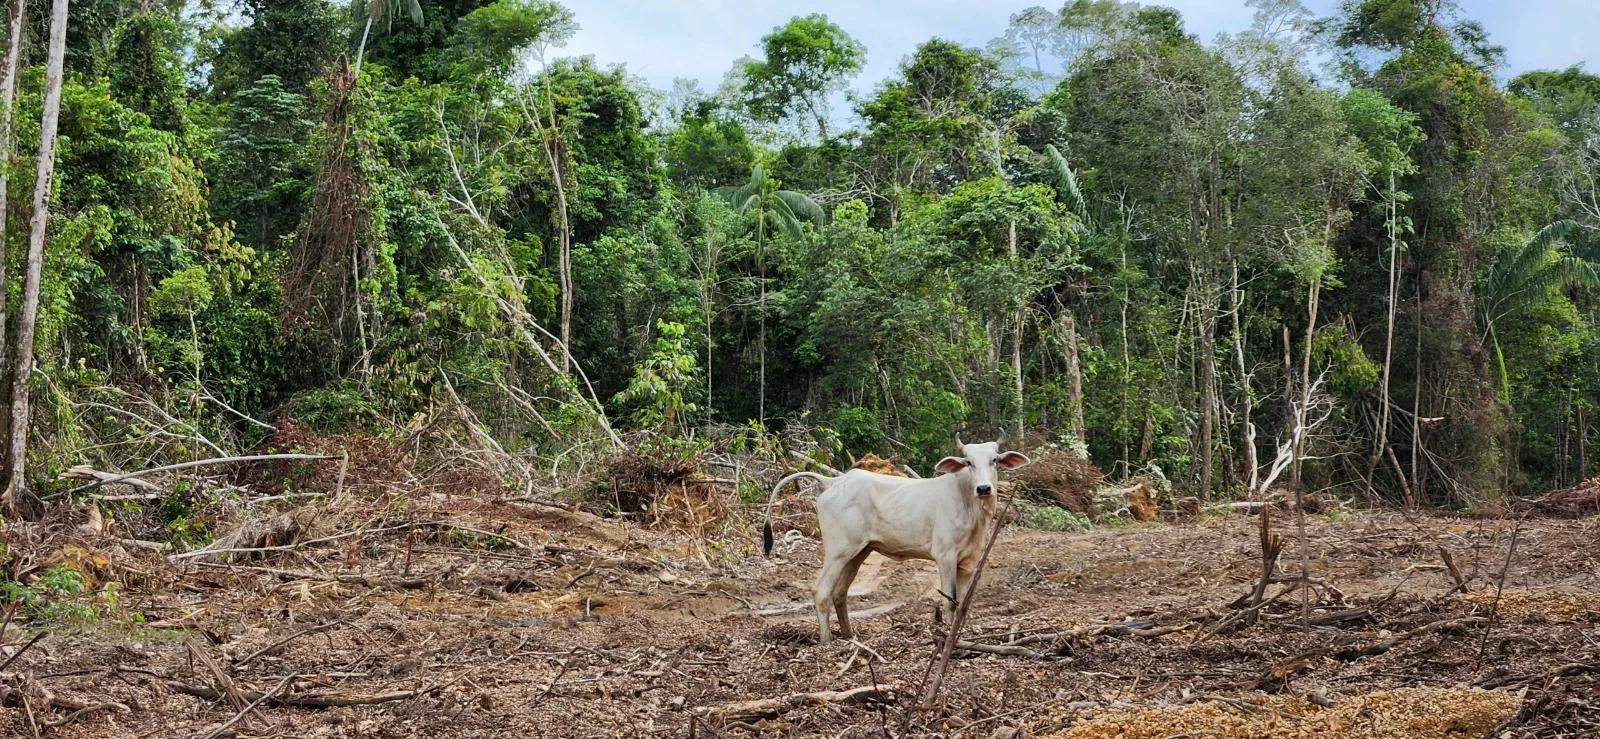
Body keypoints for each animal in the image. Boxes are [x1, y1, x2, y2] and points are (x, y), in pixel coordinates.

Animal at [758, 441, 1030, 643]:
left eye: (993, 460)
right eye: (968, 462)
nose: (983, 488)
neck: (969, 504)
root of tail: (835, 482)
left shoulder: (969, 561)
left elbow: (962, 603)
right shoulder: (945, 556)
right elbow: (949, 600)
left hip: (859, 552)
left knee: (840, 593)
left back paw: (849, 635)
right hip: (838, 551)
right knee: (822, 590)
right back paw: (827, 640)